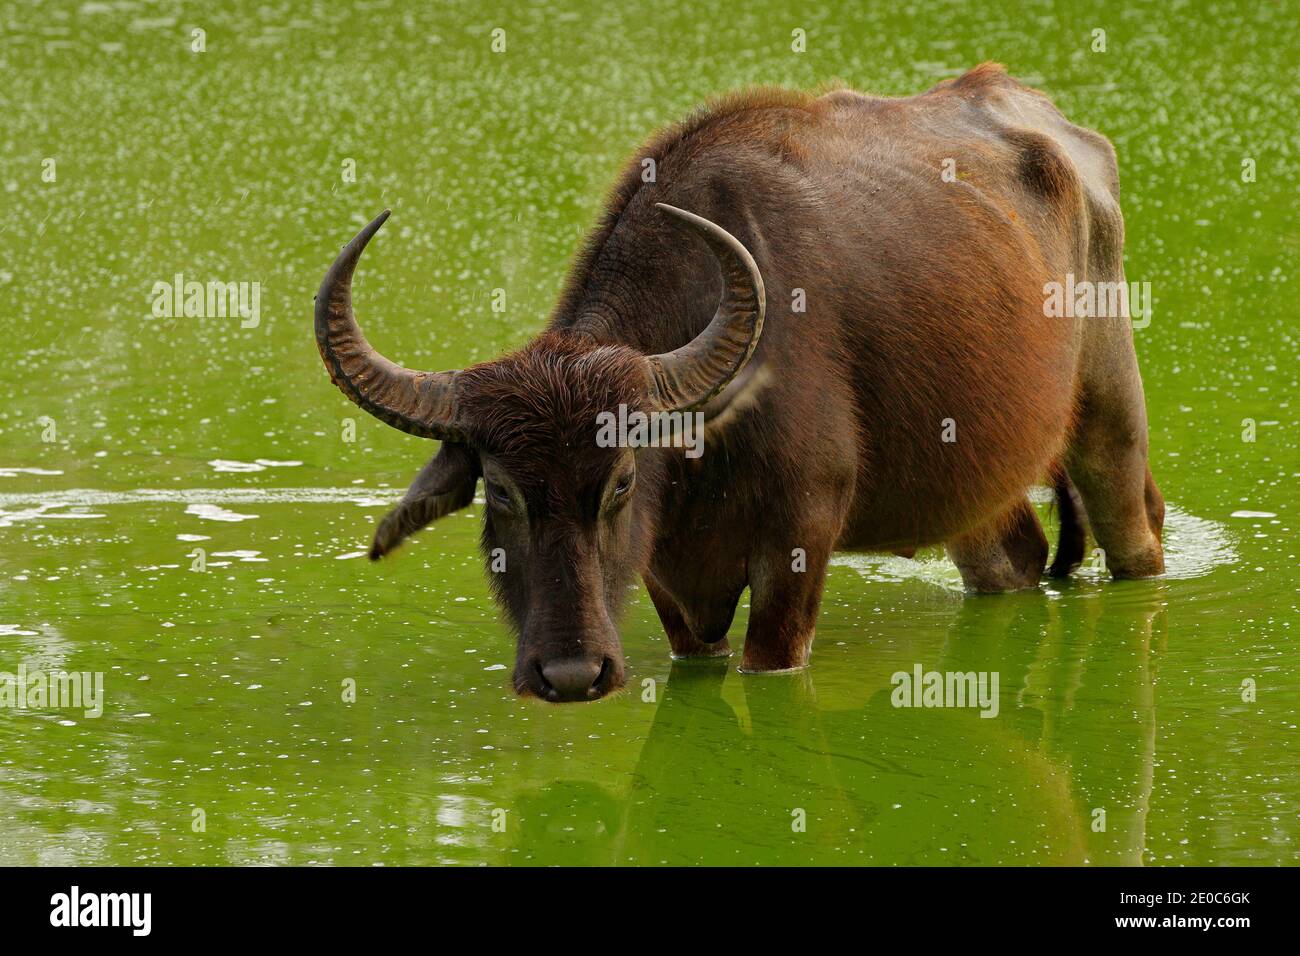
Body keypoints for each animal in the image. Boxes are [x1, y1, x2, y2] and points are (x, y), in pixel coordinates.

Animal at [317, 61, 1170, 702]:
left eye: (620, 482)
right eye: (500, 492)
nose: (570, 675)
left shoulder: (801, 536)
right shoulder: (671, 581)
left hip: (1110, 412)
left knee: (1137, 533)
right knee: (1015, 558)